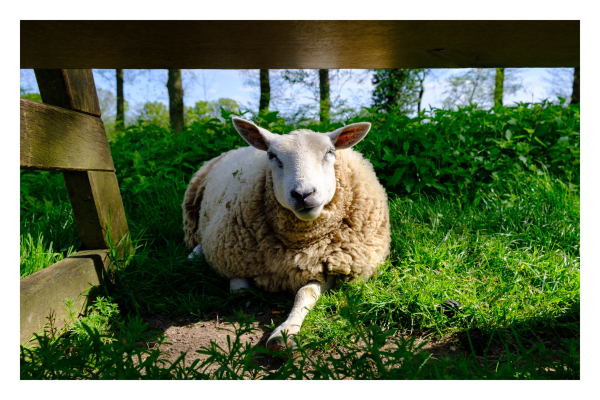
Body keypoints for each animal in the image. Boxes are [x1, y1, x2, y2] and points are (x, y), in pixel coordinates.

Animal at [182, 117, 390, 352]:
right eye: (272, 155)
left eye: (330, 152)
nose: (303, 194)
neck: (299, 244)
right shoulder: (231, 256)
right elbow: (238, 290)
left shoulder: (333, 269)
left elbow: (305, 294)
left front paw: (284, 333)